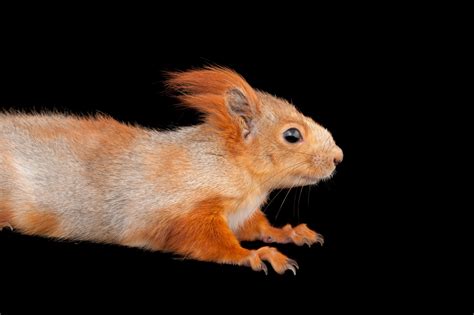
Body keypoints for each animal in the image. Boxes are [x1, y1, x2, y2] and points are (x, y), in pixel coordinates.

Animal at [0, 67, 340, 276]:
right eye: (292, 135)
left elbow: (256, 225)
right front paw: (255, 255)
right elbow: (207, 240)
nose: (339, 157)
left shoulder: (242, 213)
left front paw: (287, 232)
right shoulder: (179, 209)